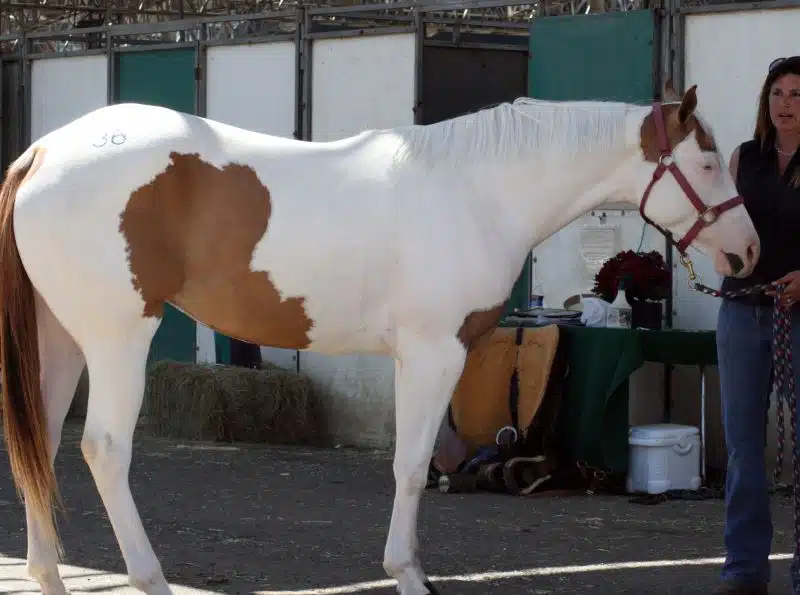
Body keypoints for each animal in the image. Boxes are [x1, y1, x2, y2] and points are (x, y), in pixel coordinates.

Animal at [0, 83, 758, 595]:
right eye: (710, 164)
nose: (748, 252)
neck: (477, 190)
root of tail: (42, 152)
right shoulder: (434, 352)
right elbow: (413, 465)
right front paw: (408, 572)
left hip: (64, 340)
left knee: (41, 440)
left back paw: (48, 572)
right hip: (116, 338)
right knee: (103, 448)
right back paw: (150, 575)